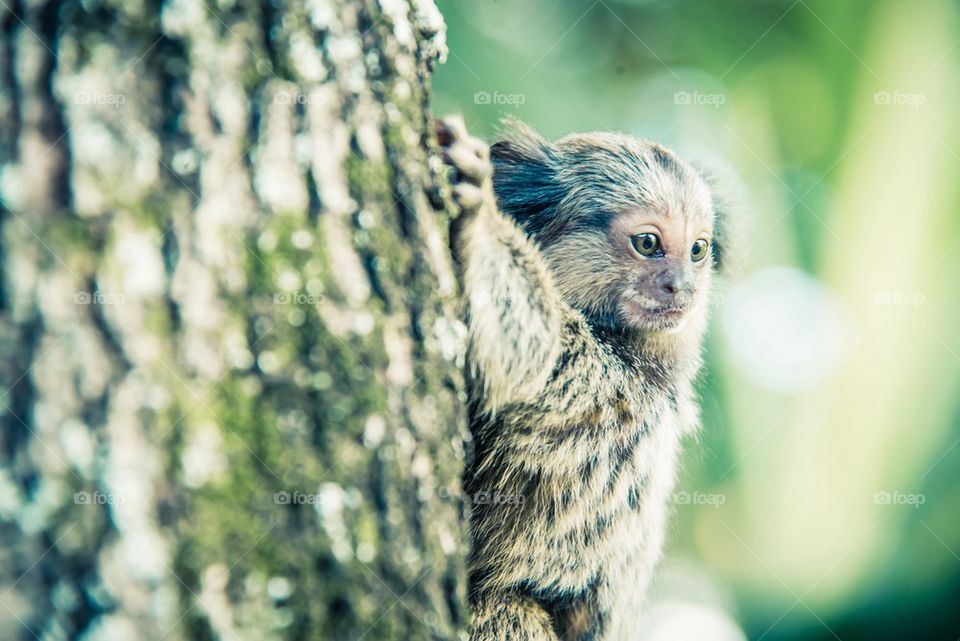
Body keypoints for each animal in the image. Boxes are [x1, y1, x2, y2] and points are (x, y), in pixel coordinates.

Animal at [435, 115, 735, 641]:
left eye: (698, 250)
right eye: (649, 244)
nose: (682, 287)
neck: (613, 340)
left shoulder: (597, 389)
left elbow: (528, 356)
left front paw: (479, 215)